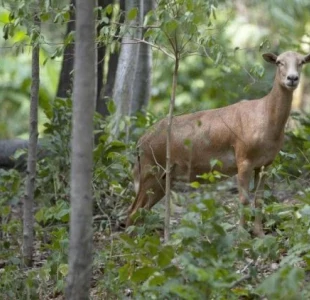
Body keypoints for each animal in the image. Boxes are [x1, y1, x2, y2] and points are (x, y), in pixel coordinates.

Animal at [126, 50, 310, 236]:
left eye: (302, 61)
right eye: (279, 62)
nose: (292, 78)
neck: (267, 122)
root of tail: (139, 143)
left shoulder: (266, 163)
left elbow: (259, 199)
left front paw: (259, 234)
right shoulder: (243, 158)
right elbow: (243, 199)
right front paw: (241, 235)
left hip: (163, 178)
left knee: (142, 209)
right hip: (151, 169)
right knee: (133, 210)